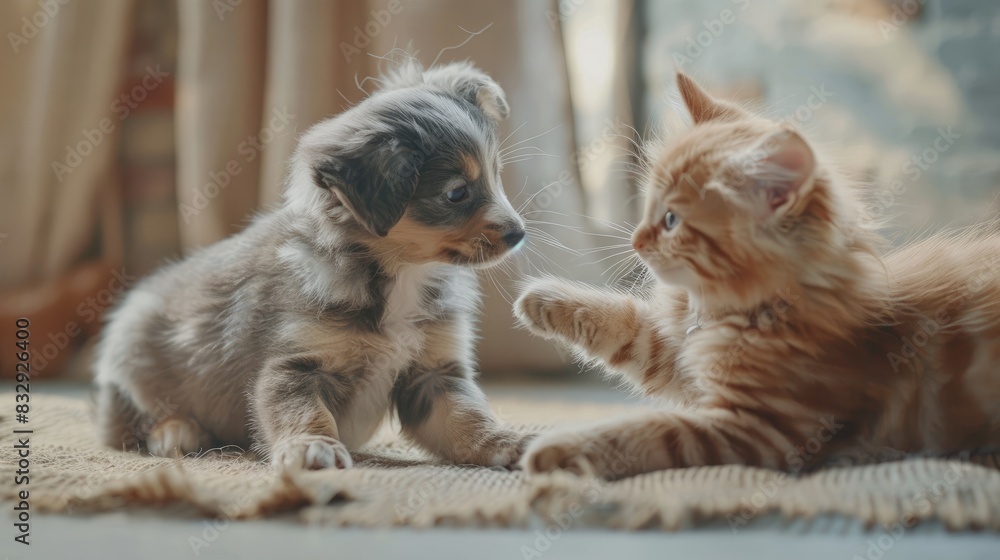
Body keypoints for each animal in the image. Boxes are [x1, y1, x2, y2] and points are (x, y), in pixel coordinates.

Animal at [93, 61, 532, 470]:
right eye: (456, 193)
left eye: (496, 175)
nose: (519, 233)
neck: (402, 273)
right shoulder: (296, 366)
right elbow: (305, 414)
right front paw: (312, 447)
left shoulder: (434, 374)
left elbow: (466, 418)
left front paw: (505, 443)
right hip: (134, 355)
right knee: (129, 423)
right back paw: (175, 431)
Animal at [516, 72, 1000, 480]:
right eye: (649, 206)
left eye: (671, 220)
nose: (635, 240)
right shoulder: (686, 360)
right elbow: (630, 326)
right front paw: (542, 300)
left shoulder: (763, 429)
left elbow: (647, 430)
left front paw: (556, 450)